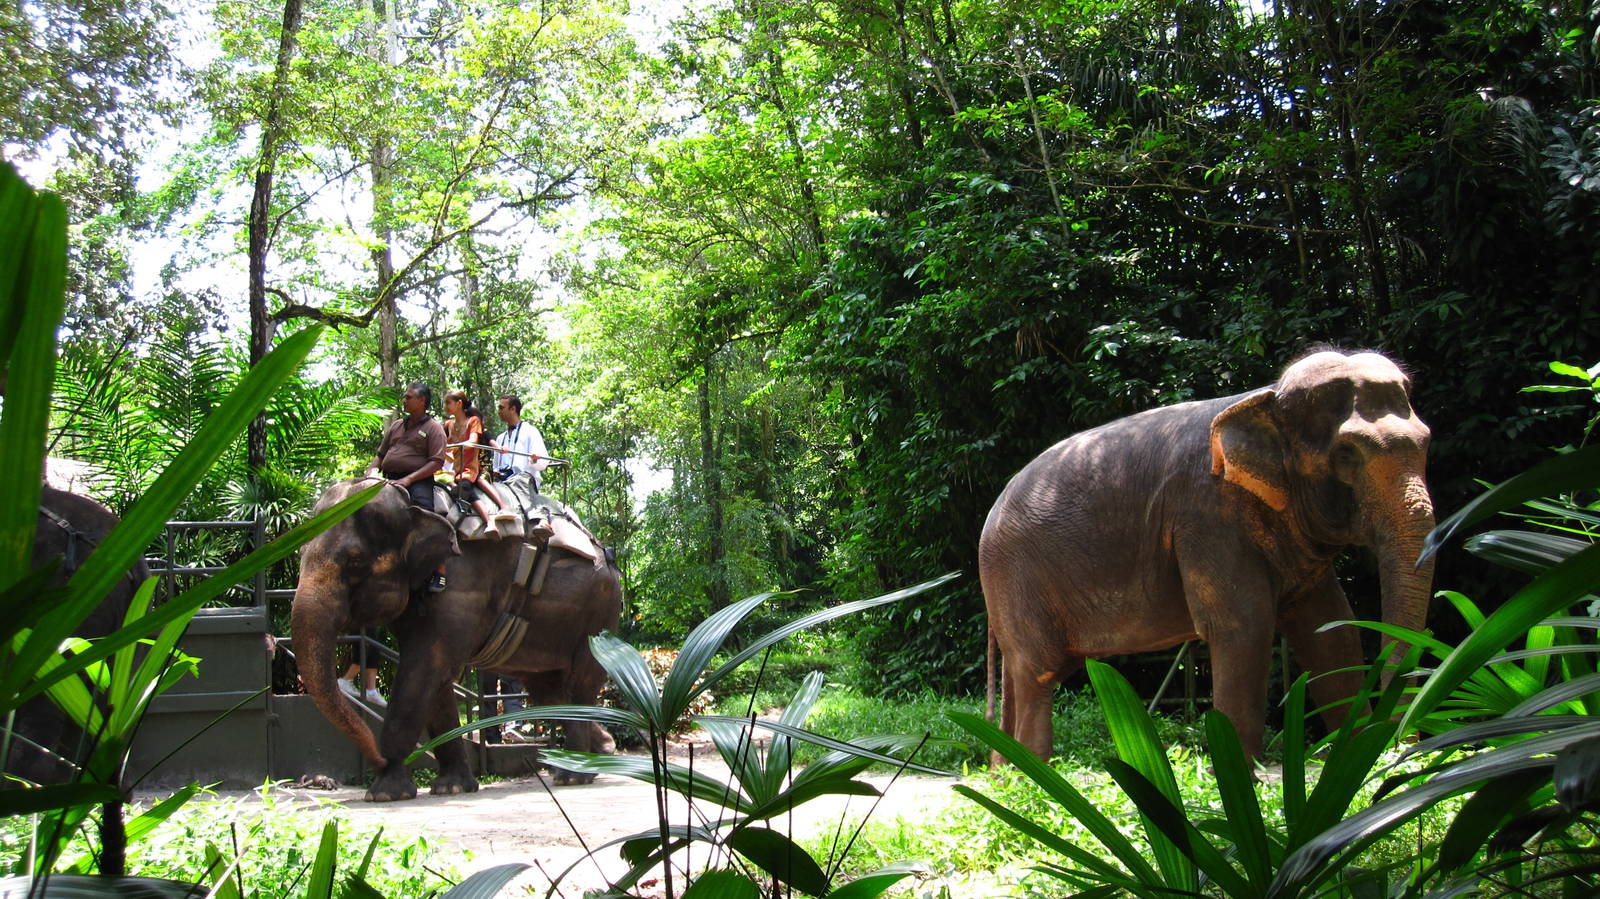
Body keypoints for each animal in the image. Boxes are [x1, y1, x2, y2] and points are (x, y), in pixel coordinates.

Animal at [291, 478, 622, 802]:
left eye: (355, 563)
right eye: (300, 554)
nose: (378, 759)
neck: (416, 502)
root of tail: (606, 553)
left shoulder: (461, 582)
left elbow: (424, 668)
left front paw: (385, 793)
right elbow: (437, 680)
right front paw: (452, 787)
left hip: (597, 616)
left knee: (578, 685)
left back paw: (573, 775)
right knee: (548, 692)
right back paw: (602, 752)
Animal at [978, 349, 1435, 760]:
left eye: (1428, 442)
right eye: (1346, 454)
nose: (1403, 748)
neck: (1267, 397)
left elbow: (1330, 628)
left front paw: (1356, 758)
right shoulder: (1205, 515)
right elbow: (1243, 623)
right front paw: (1242, 773)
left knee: (1023, 673)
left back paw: (1007, 772)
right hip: (1015, 575)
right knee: (1038, 671)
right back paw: (1034, 773)